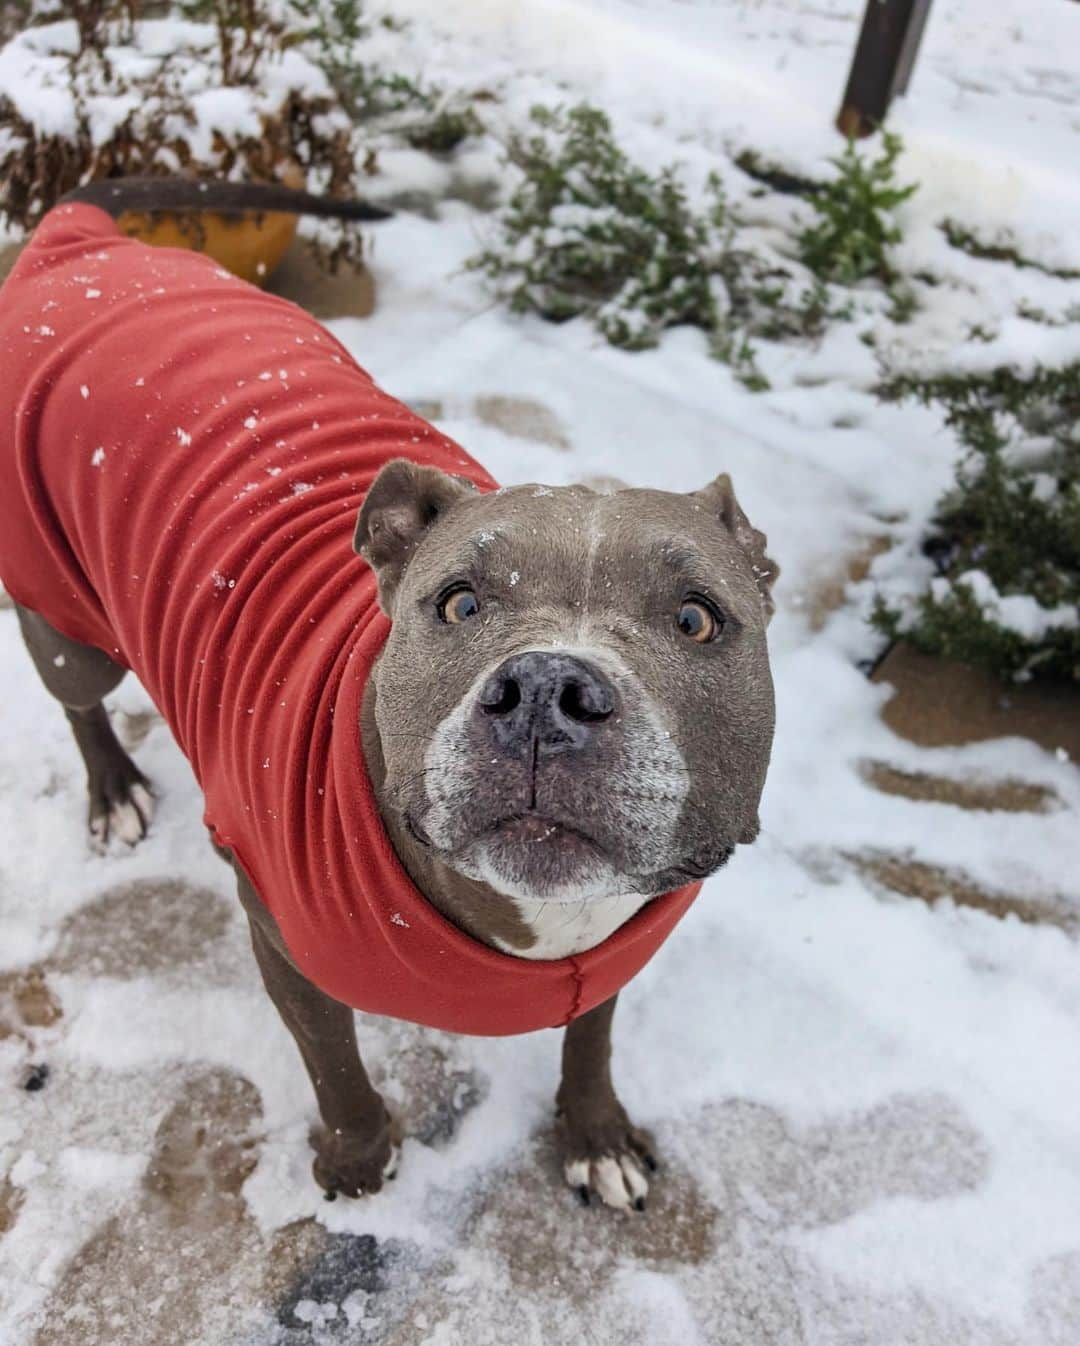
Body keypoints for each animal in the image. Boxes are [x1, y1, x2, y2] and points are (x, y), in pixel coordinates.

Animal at [2, 176, 775, 1211]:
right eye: (459, 601)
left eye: (696, 619)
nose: (547, 689)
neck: (535, 924)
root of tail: (78, 236)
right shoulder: (282, 939)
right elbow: (332, 1059)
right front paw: (359, 1161)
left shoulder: (610, 946)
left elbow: (594, 1030)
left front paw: (595, 1133)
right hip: (61, 606)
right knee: (77, 694)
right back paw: (113, 790)